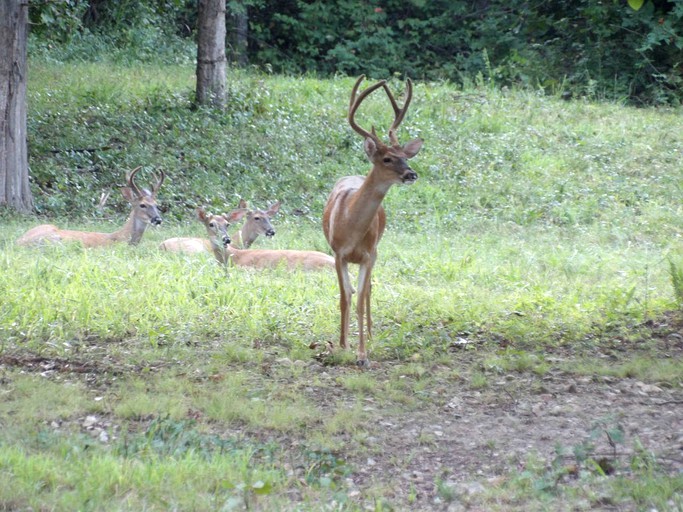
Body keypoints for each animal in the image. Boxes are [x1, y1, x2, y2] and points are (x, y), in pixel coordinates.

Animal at [322, 74, 422, 366]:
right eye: (388, 158)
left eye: (406, 157)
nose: (411, 174)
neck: (351, 226)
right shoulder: (338, 253)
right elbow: (345, 297)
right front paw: (342, 345)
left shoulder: (368, 254)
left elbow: (359, 298)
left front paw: (362, 353)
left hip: (377, 250)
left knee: (368, 291)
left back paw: (370, 333)